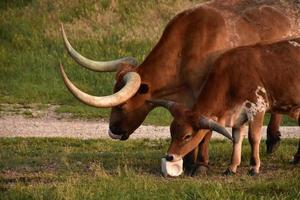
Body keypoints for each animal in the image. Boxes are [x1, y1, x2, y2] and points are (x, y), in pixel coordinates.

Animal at [149, 38, 300, 176]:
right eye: (171, 131)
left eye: (187, 136)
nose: (170, 156)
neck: (232, 74)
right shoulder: (238, 115)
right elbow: (236, 139)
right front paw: (232, 167)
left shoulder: (257, 108)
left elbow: (253, 137)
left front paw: (254, 167)